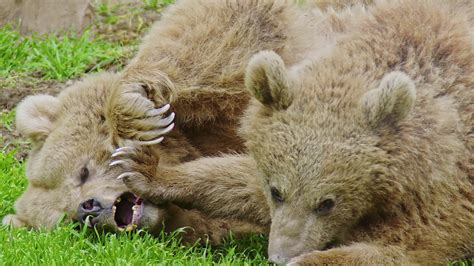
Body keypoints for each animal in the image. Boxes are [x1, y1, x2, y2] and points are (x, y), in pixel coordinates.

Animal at [111, 0, 474, 264]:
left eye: (327, 202)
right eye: (277, 191)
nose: (279, 255)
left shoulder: (445, 192)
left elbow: (402, 248)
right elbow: (237, 179)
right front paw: (142, 168)